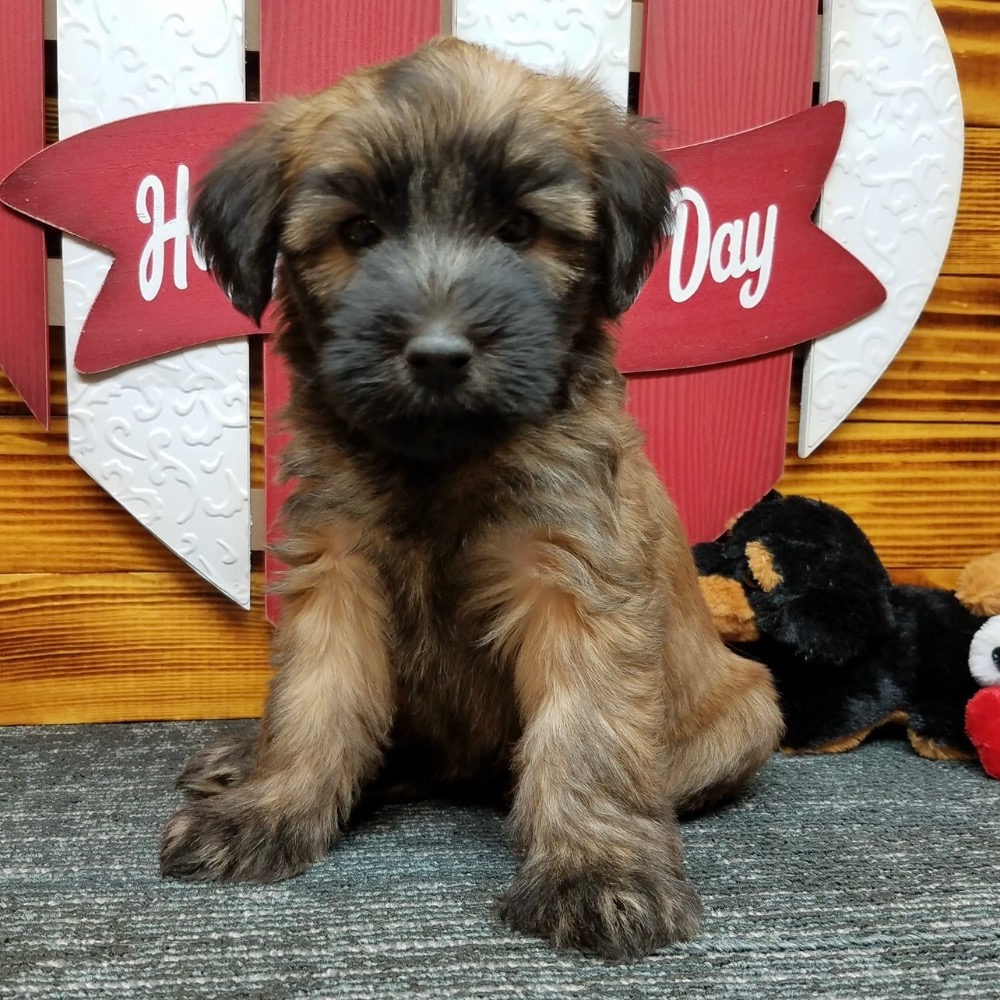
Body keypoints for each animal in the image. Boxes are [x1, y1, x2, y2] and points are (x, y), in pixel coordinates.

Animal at [158, 39, 780, 960]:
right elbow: (315, 702)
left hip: (749, 709)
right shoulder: (337, 574)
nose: (440, 354)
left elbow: (588, 734)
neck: (441, 463)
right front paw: (269, 809)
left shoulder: (572, 581)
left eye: (518, 230)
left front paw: (597, 867)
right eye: (360, 233)